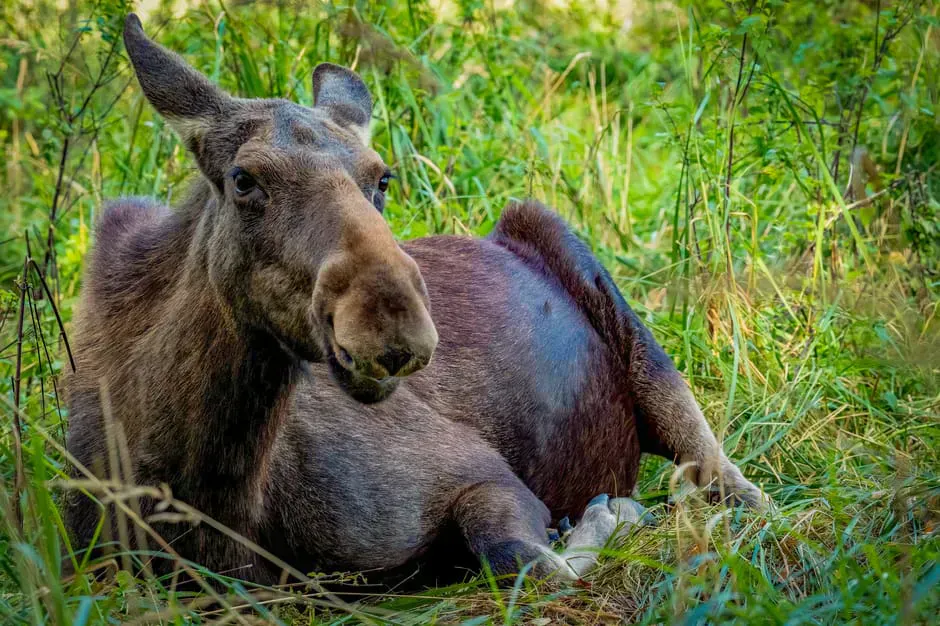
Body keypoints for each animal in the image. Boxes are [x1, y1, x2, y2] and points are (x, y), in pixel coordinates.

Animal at [65, 14, 769, 587]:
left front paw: (608, 514)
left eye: (382, 177)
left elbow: (528, 563)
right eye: (243, 179)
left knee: (722, 473)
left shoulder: (480, 473)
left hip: (600, 288)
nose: (392, 329)